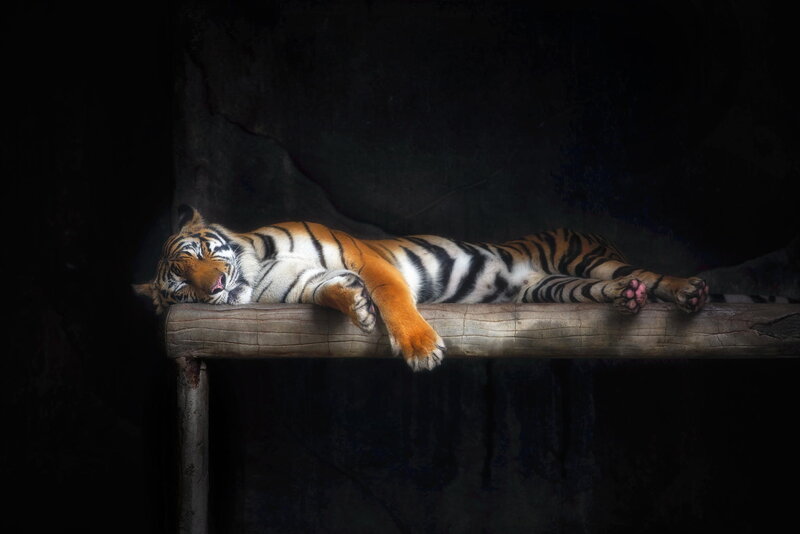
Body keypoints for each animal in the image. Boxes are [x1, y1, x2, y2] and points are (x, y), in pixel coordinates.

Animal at [135, 205, 711, 371]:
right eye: (180, 286)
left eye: (201, 256)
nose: (214, 287)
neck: (257, 273)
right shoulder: (304, 282)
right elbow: (327, 290)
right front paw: (356, 307)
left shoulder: (366, 257)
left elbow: (393, 295)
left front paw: (420, 347)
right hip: (554, 288)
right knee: (616, 288)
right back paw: (627, 299)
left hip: (584, 258)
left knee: (649, 274)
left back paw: (689, 292)